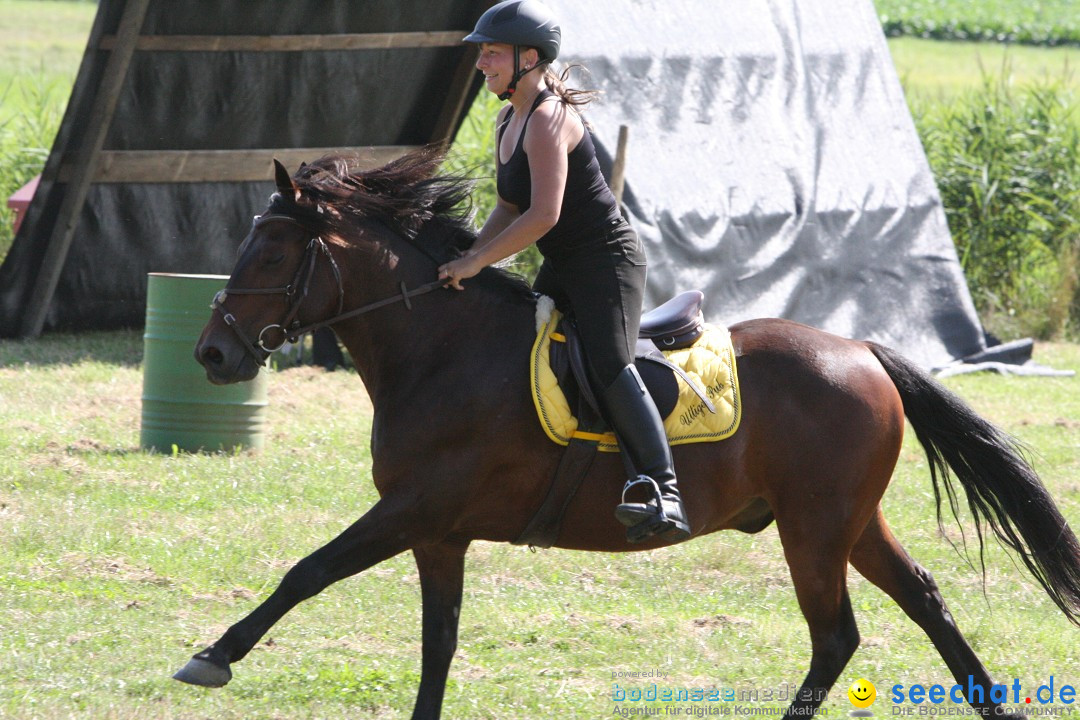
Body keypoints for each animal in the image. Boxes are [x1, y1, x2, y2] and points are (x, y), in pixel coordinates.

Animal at [179, 147, 1080, 720]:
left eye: (269, 256)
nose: (212, 353)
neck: (440, 349)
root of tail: (862, 349)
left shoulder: (414, 509)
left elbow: (307, 571)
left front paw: (214, 655)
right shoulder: (439, 533)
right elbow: (438, 644)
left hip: (815, 529)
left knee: (836, 636)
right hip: (847, 522)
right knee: (924, 601)